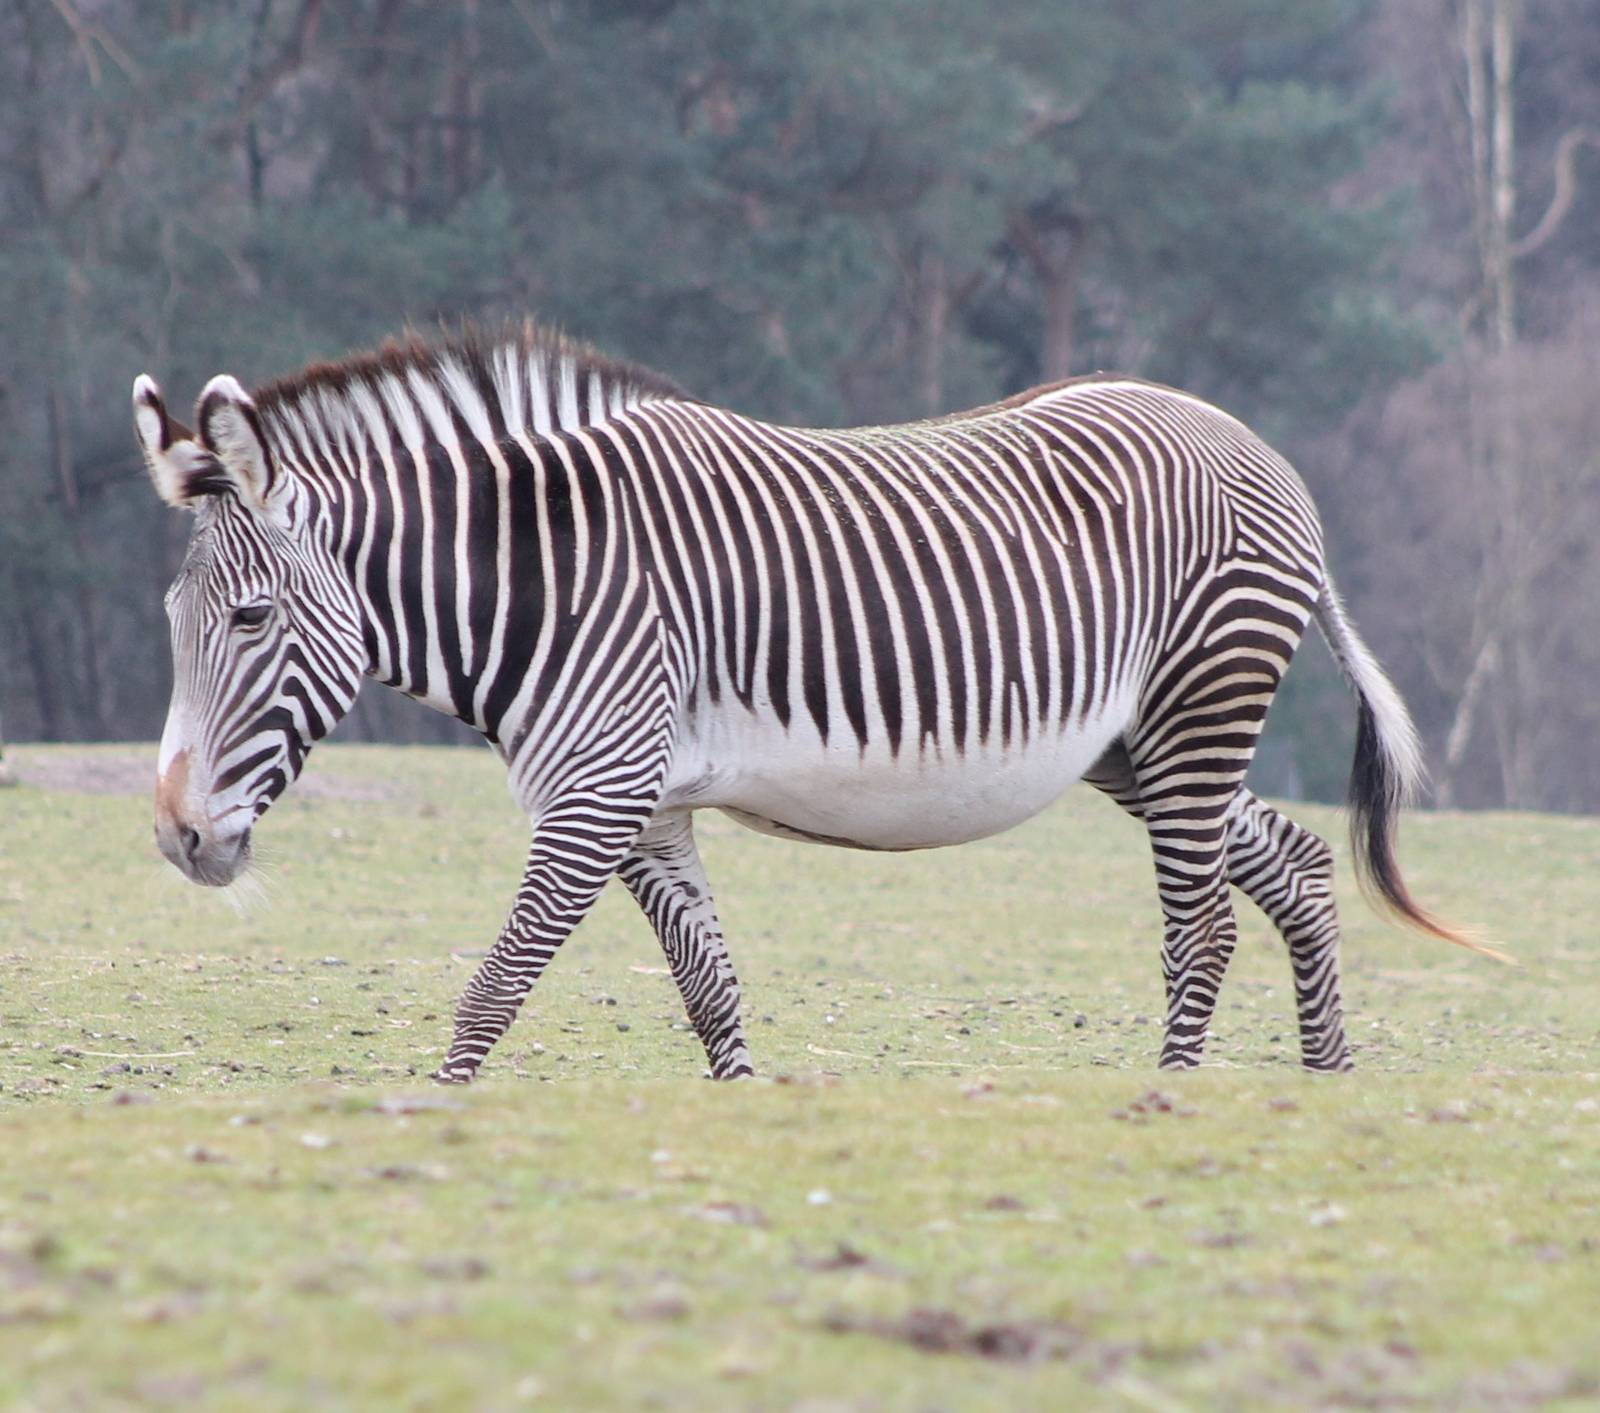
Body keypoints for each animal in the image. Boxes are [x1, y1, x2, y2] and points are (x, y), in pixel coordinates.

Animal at [132, 322, 1492, 1082]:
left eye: (248, 622)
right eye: (171, 623)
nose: (180, 837)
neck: (549, 580)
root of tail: (1258, 449)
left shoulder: (594, 795)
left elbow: (497, 985)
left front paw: (435, 1112)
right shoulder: (647, 809)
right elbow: (707, 985)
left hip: (1202, 702)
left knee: (1201, 925)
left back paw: (1180, 1090)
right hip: (1138, 744)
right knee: (1297, 868)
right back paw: (1322, 1087)